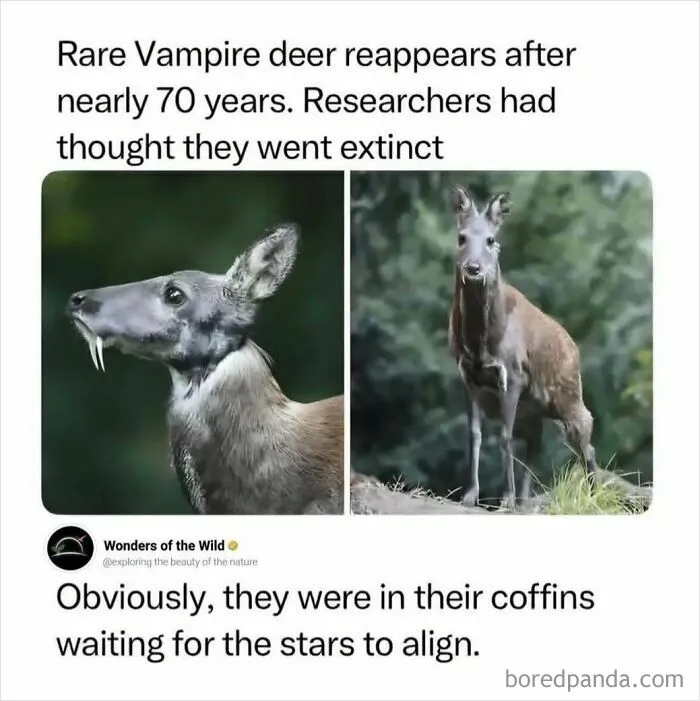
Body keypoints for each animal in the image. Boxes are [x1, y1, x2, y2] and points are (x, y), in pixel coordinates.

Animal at [447, 185, 599, 510]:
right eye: (461, 237)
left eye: (491, 239)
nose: (473, 268)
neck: (482, 342)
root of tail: (574, 347)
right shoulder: (468, 377)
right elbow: (475, 435)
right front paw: (470, 496)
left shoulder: (513, 376)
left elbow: (505, 438)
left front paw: (503, 499)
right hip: (535, 411)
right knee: (534, 446)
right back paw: (524, 500)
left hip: (568, 394)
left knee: (585, 439)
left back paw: (591, 497)